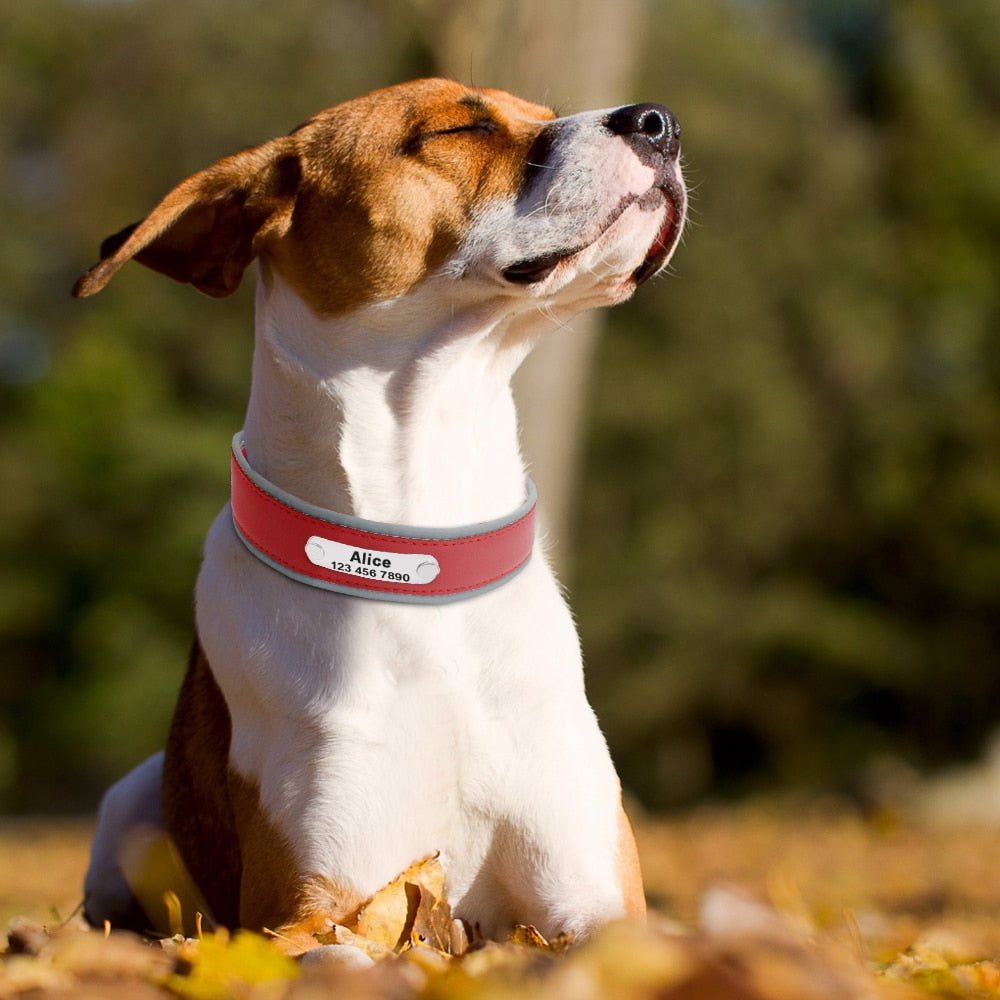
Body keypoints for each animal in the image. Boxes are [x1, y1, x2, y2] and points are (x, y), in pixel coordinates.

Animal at [74, 76, 684, 952]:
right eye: (457, 128)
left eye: (540, 110)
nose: (659, 122)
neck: (420, 550)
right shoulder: (314, 909)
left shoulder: (598, 901)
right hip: (127, 808)